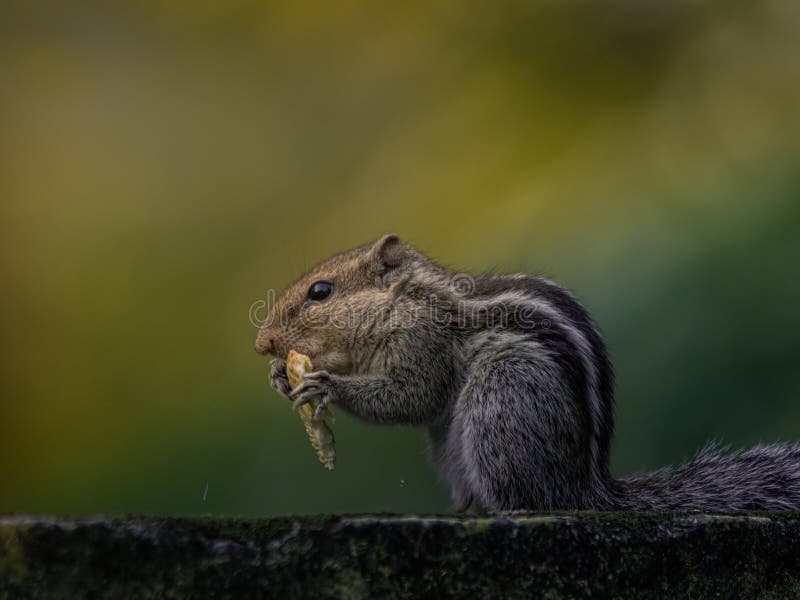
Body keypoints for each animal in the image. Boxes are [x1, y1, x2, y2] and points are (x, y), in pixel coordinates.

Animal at [256, 234, 800, 510]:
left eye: (321, 292)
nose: (262, 343)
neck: (407, 301)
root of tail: (585, 489)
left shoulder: (424, 343)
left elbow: (413, 397)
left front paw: (325, 384)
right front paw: (281, 378)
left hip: (502, 399)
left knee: (527, 497)